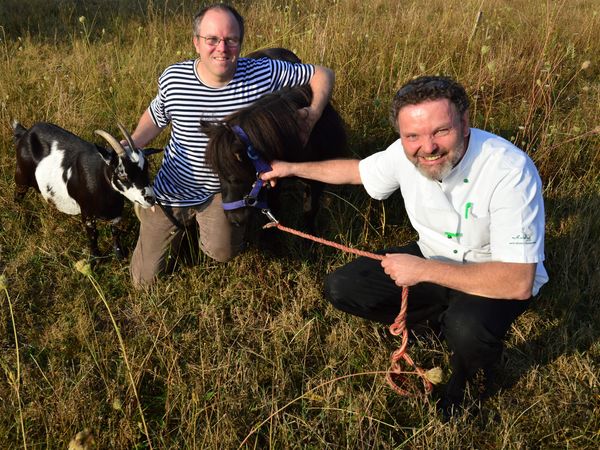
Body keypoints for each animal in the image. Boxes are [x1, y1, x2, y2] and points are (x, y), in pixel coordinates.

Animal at [13, 121, 157, 258]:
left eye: (146, 168)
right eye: (122, 174)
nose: (150, 199)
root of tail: (26, 132)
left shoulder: (116, 213)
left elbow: (115, 232)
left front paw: (119, 256)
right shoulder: (87, 213)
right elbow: (93, 236)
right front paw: (95, 259)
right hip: (21, 176)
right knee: (18, 196)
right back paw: (21, 221)